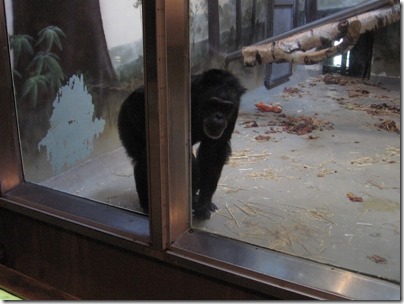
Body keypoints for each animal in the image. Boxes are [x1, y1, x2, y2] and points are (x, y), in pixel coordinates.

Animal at [117, 69, 246, 218]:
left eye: (226, 107)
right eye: (214, 104)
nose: (219, 116)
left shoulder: (235, 109)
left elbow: (213, 151)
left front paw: (203, 203)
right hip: (126, 120)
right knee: (144, 160)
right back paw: (148, 206)